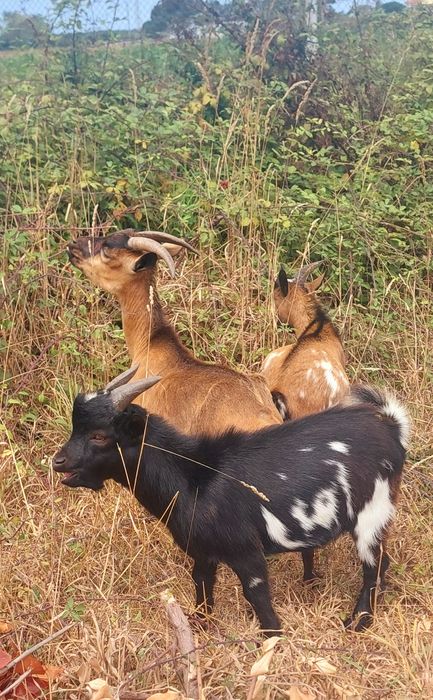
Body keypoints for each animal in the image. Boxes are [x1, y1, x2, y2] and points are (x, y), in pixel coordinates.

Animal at [53, 365, 409, 636]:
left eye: (100, 436)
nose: (59, 462)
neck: (193, 476)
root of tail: (391, 427)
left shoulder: (245, 552)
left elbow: (257, 596)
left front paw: (272, 639)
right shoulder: (202, 550)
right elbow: (201, 584)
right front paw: (200, 625)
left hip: (373, 510)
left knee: (376, 564)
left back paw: (359, 621)